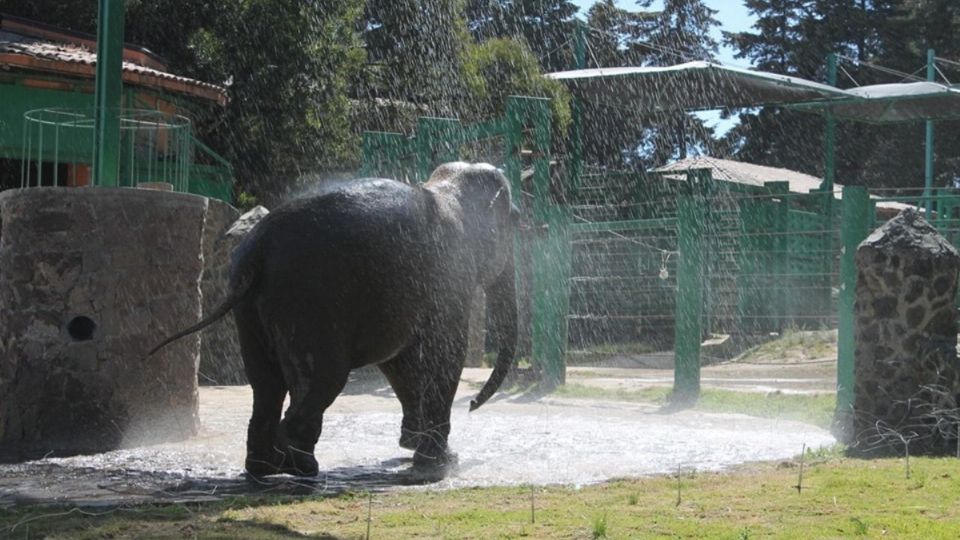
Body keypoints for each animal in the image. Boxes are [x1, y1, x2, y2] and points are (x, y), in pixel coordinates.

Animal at [151, 161, 520, 476]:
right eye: (516, 220)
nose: (472, 404)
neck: (444, 186)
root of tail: (258, 248)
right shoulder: (449, 275)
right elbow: (443, 355)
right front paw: (440, 464)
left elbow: (399, 360)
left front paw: (417, 447)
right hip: (308, 303)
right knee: (322, 379)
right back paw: (301, 467)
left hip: (252, 308)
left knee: (266, 385)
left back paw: (264, 469)